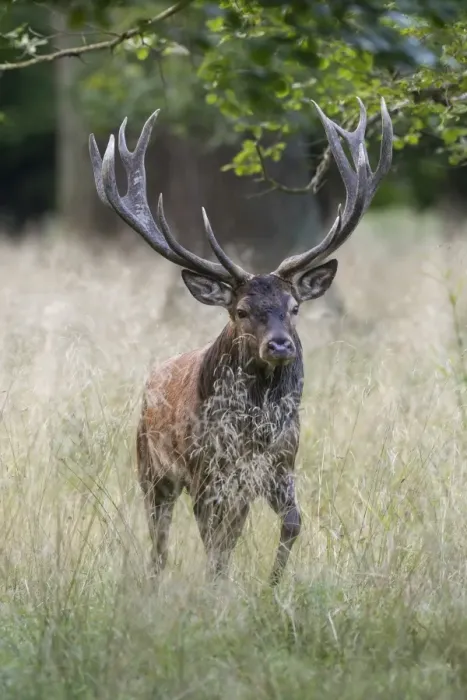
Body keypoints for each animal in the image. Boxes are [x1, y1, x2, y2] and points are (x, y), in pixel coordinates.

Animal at [89, 97, 393, 585]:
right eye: (241, 311)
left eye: (294, 307)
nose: (280, 346)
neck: (252, 431)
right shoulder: (206, 472)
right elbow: (214, 546)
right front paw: (219, 590)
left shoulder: (281, 463)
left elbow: (291, 523)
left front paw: (273, 585)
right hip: (150, 467)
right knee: (160, 541)